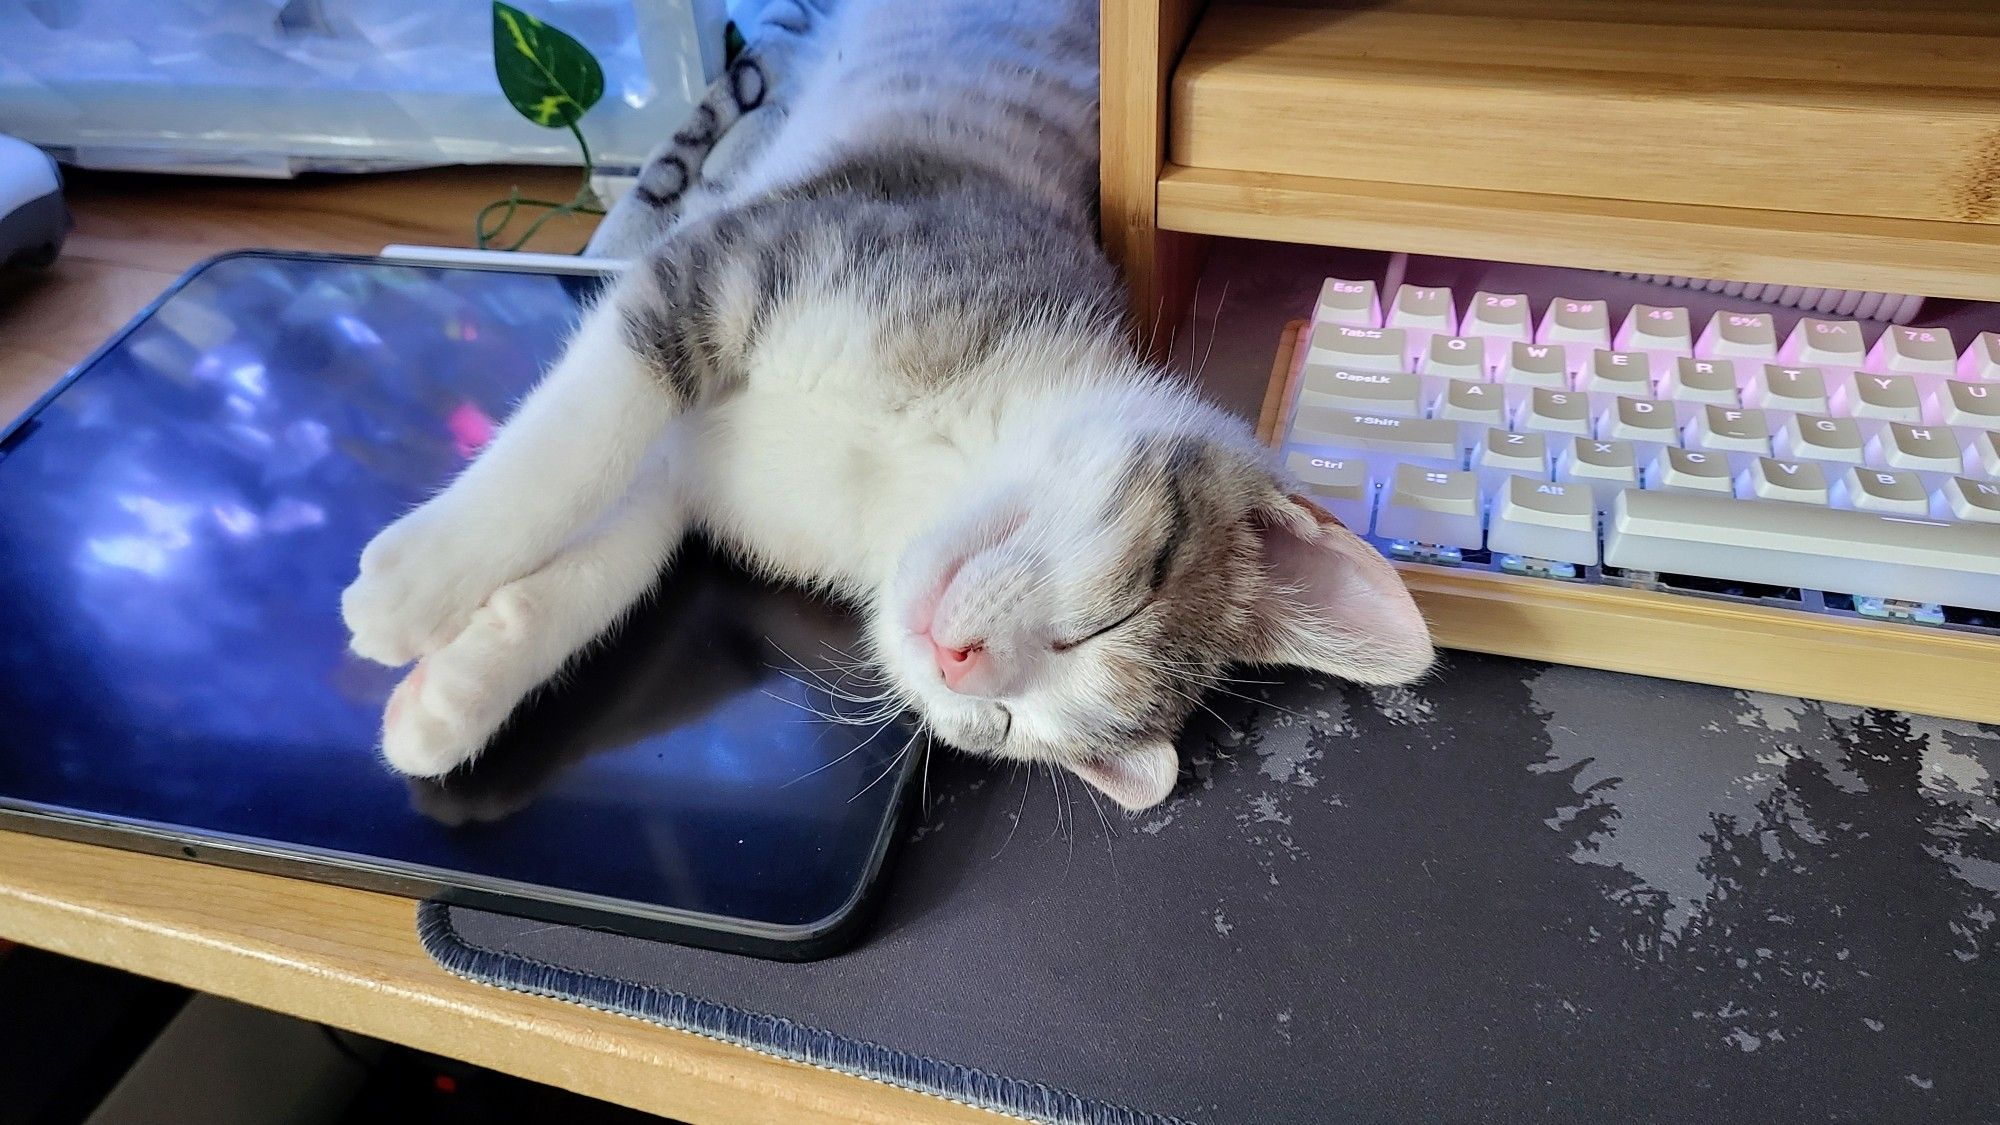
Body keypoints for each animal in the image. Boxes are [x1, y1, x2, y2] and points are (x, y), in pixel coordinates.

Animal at [344, 0, 1440, 804]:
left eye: (1010, 728)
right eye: (1113, 616)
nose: (959, 666)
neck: (902, 478)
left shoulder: (705, 475)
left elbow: (627, 549)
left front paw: (457, 694)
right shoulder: (751, 255)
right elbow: (583, 433)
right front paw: (415, 582)